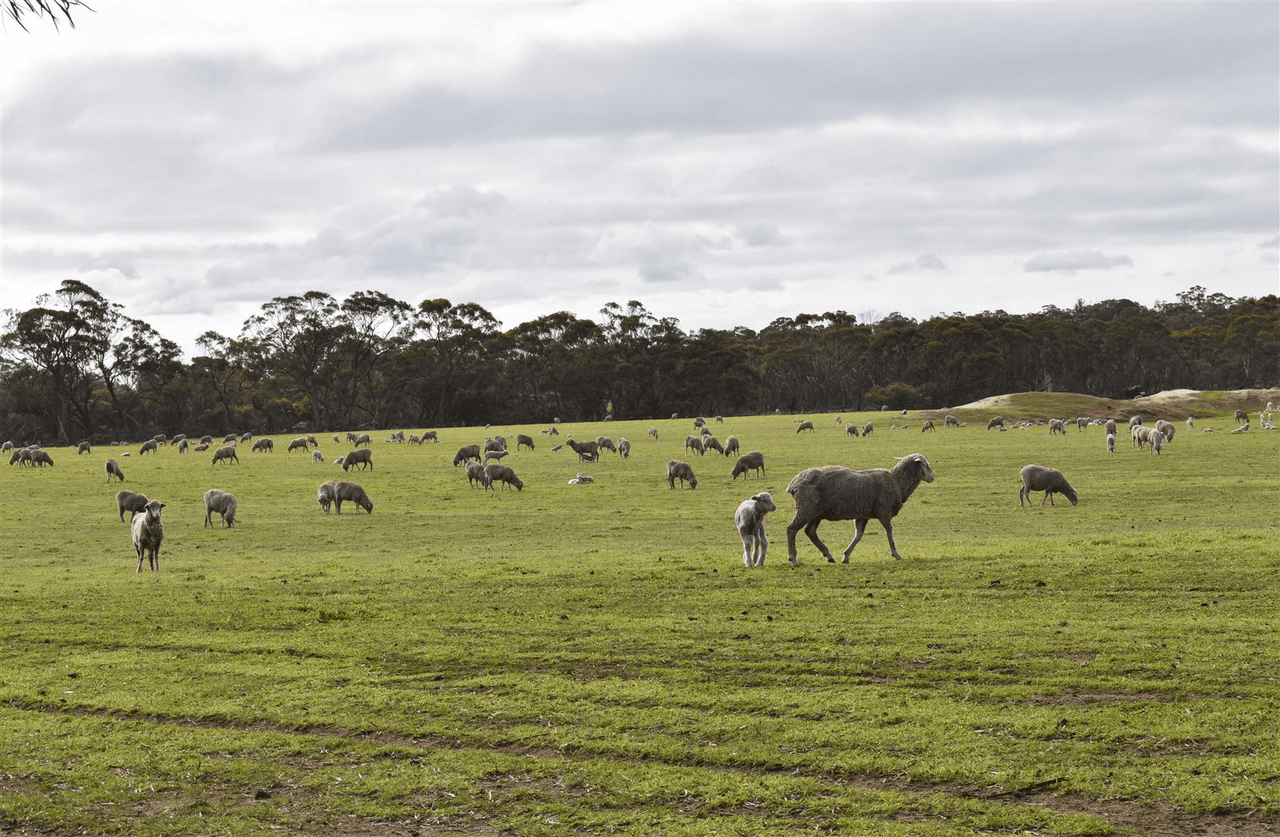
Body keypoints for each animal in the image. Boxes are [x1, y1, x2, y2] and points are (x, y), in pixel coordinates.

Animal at [783, 455, 936, 568]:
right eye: (925, 464)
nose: (933, 477)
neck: (897, 481)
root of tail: (793, 484)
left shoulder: (863, 515)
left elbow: (858, 535)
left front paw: (846, 556)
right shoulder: (884, 511)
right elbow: (889, 532)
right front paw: (896, 554)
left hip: (816, 512)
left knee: (810, 531)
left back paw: (828, 555)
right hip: (806, 508)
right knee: (791, 529)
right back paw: (794, 559)